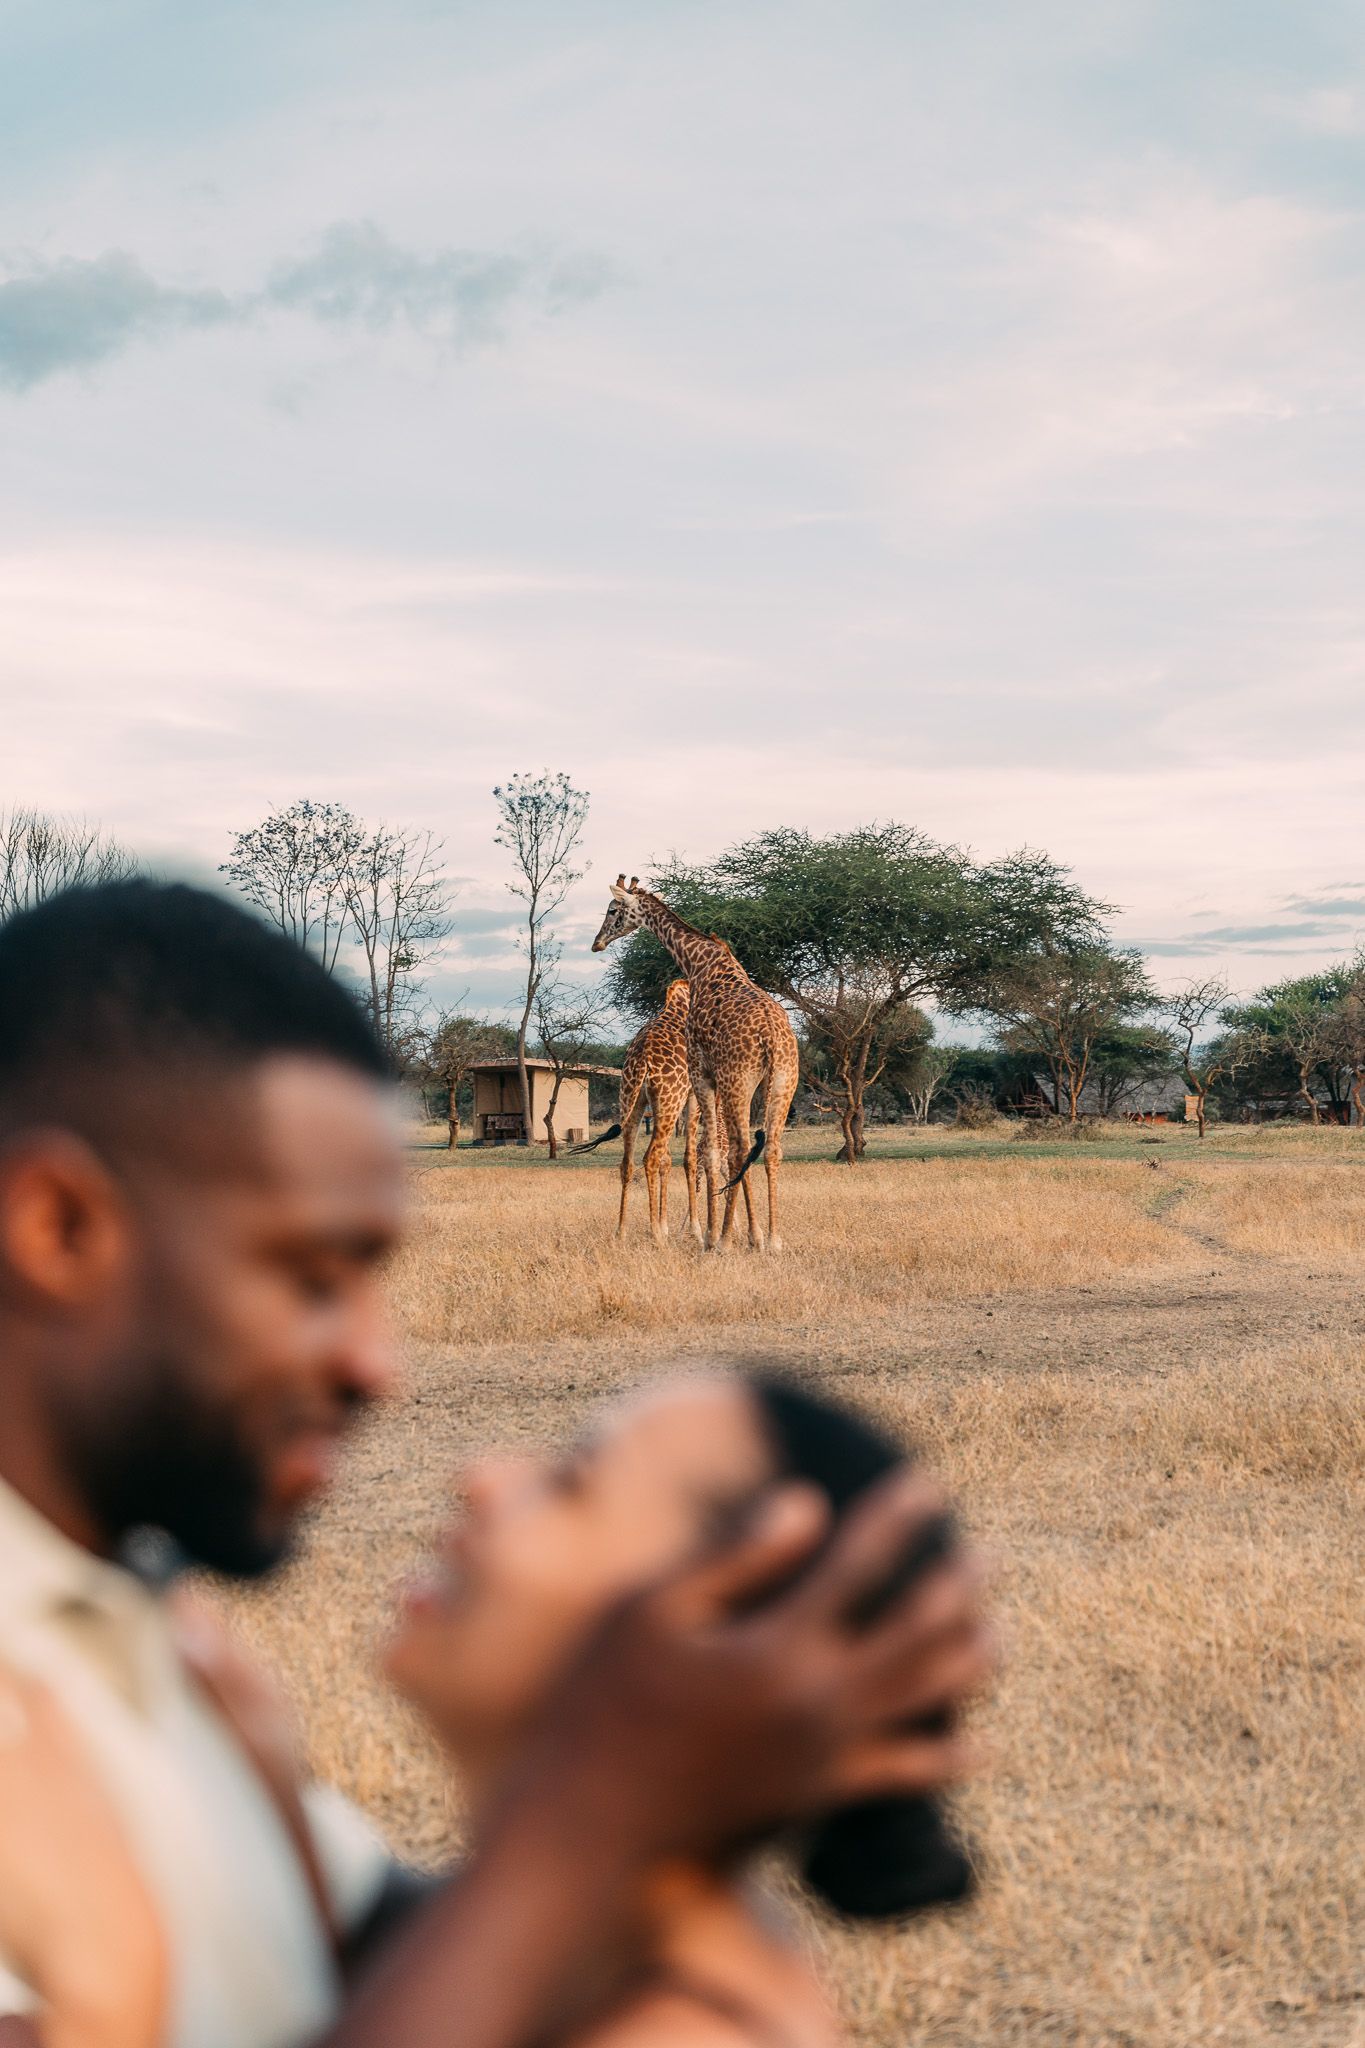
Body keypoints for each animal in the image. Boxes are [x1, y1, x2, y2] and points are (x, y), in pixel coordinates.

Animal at [575, 978, 699, 1243]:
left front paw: (666, 1225)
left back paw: (621, 1230)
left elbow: (668, 1160)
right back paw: (655, 1235)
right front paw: (694, 1229)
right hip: (668, 1101)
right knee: (650, 1157)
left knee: (627, 1162)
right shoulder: (693, 1095)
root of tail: (642, 1061)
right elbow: (689, 1158)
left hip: (631, 1100)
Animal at [591, 875, 800, 1252]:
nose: (596, 943)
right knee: (769, 1149)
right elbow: (707, 1153)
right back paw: (771, 1239)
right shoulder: (708, 1080)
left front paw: (710, 1235)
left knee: (733, 1150)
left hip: (733, 1083)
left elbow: (704, 1154)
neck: (699, 962)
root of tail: (772, 1039)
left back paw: (723, 1238)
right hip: (780, 1081)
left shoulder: (699, 1074)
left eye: (613, 909)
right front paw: (734, 1234)